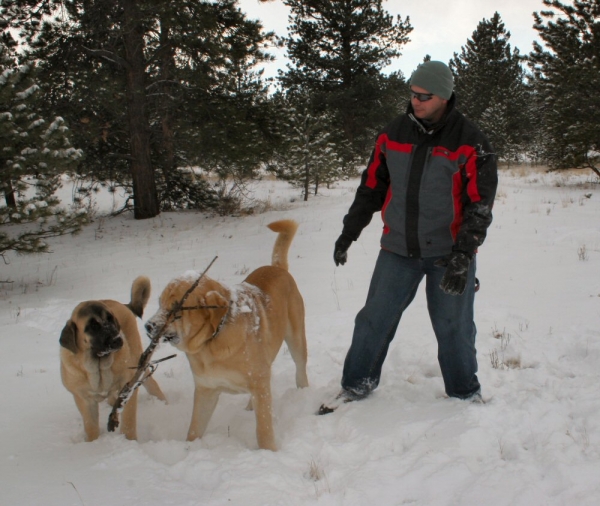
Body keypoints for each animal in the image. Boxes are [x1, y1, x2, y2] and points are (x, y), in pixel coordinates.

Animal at [59, 274, 166, 440]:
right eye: (93, 326)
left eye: (110, 319)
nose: (117, 338)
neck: (99, 367)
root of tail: (124, 305)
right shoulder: (84, 400)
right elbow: (91, 426)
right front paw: (94, 443)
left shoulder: (128, 388)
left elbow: (128, 420)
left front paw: (128, 440)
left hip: (138, 362)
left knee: (151, 384)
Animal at [145, 219, 310, 448]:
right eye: (160, 303)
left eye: (176, 309)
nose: (148, 326)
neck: (213, 341)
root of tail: (277, 268)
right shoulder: (206, 390)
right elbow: (194, 429)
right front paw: (189, 449)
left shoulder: (258, 381)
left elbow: (263, 429)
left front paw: (268, 451)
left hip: (296, 340)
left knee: (300, 369)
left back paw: (303, 391)